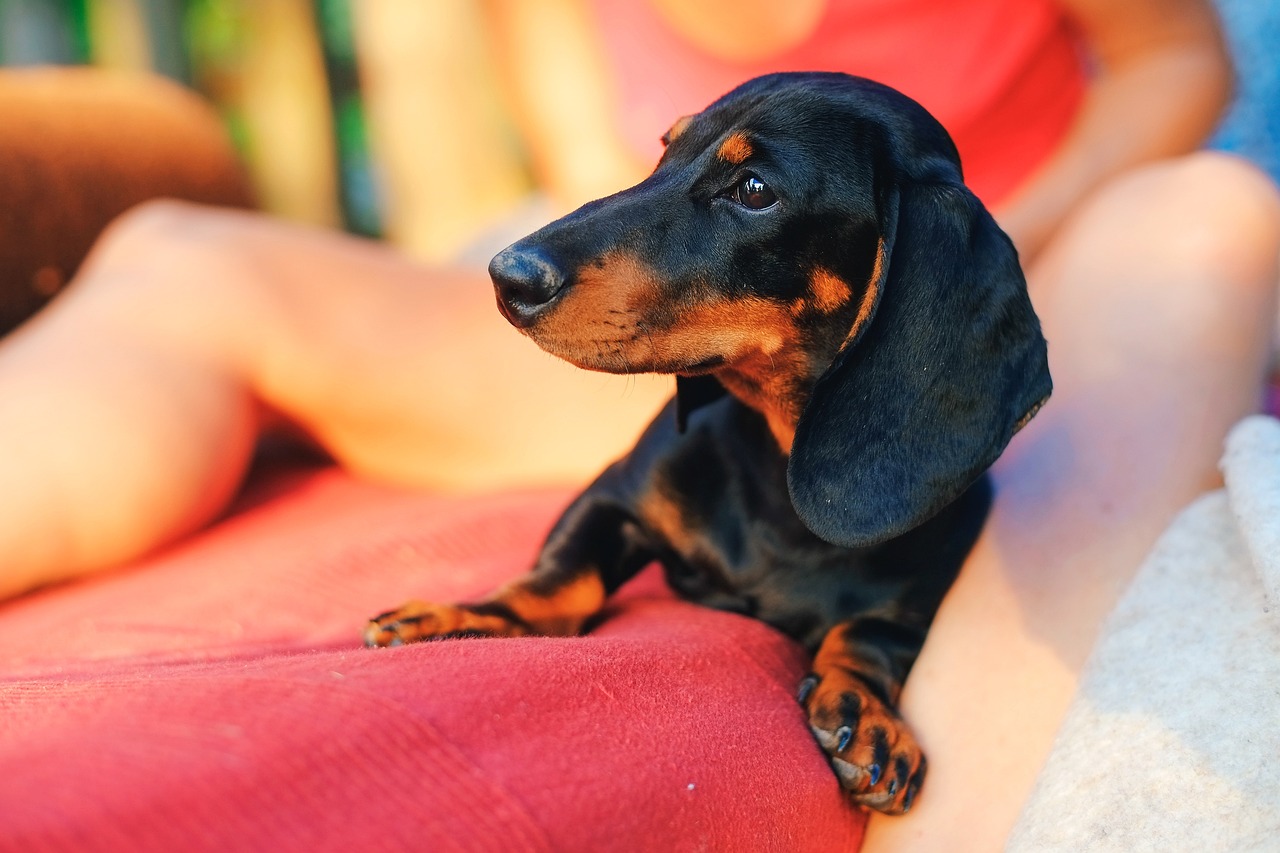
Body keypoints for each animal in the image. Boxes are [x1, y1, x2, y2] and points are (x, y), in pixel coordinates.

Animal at [363, 71, 1049, 809]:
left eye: (753, 189)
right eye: (667, 146)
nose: (507, 274)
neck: (778, 482)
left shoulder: (921, 590)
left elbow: (870, 632)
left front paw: (864, 708)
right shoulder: (614, 494)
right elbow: (561, 577)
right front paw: (465, 614)